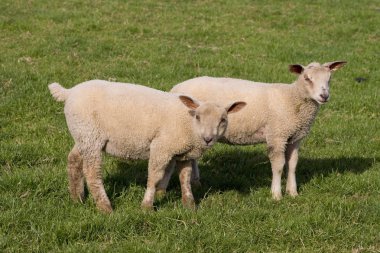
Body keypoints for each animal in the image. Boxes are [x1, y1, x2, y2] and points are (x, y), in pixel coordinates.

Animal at [48, 80, 246, 212]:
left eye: (223, 120)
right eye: (198, 116)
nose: (208, 139)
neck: (188, 125)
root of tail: (69, 92)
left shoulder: (185, 153)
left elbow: (185, 177)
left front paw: (189, 204)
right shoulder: (161, 148)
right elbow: (154, 177)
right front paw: (147, 206)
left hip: (83, 135)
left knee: (73, 160)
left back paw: (77, 198)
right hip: (91, 137)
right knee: (92, 173)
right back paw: (105, 207)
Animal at [171, 60, 346, 200]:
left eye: (329, 79)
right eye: (307, 78)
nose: (324, 96)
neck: (293, 99)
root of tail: (175, 87)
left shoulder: (295, 137)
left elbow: (293, 164)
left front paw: (293, 192)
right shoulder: (277, 135)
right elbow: (279, 165)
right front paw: (276, 195)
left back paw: (196, 181)